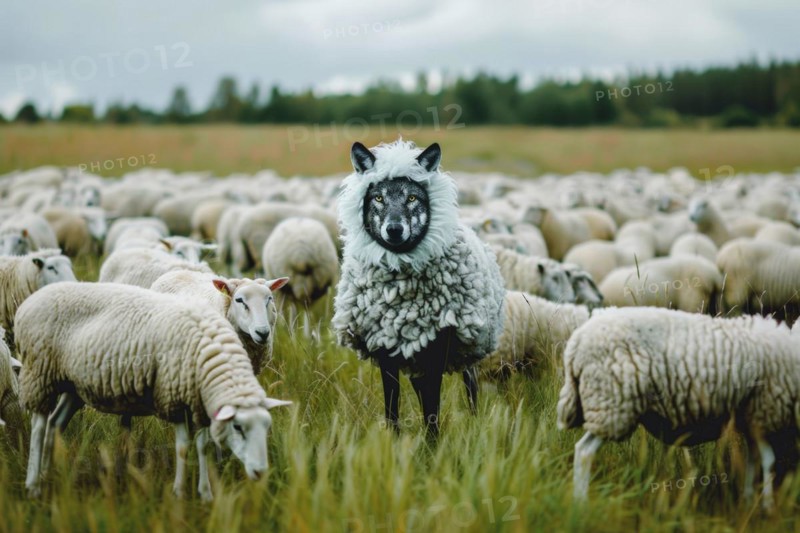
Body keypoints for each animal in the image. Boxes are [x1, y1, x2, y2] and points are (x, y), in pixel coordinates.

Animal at [15, 282, 292, 500]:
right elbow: (183, 447)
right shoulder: (174, 397)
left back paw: (48, 474)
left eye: (267, 426)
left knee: (54, 423)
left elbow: (202, 445)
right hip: (39, 373)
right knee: (39, 426)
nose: (260, 472)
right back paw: (33, 486)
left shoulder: (199, 400)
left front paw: (205, 494)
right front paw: (179, 493)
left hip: (71, 385)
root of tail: (27, 303)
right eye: (238, 427)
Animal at [333, 140, 505, 437]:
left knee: (470, 389)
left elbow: (432, 409)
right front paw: (393, 441)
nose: (394, 229)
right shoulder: (385, 348)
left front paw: (432, 445)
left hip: (468, 348)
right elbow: (392, 405)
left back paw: (475, 423)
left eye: (412, 198)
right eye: (378, 198)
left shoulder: (436, 349)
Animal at [557, 307, 800, 511]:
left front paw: (749, 501)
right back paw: (581, 505)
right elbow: (768, 461)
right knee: (585, 452)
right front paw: (768, 507)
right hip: (612, 404)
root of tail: (576, 342)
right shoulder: (766, 411)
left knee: (582, 449)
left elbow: (753, 460)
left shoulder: (751, 418)